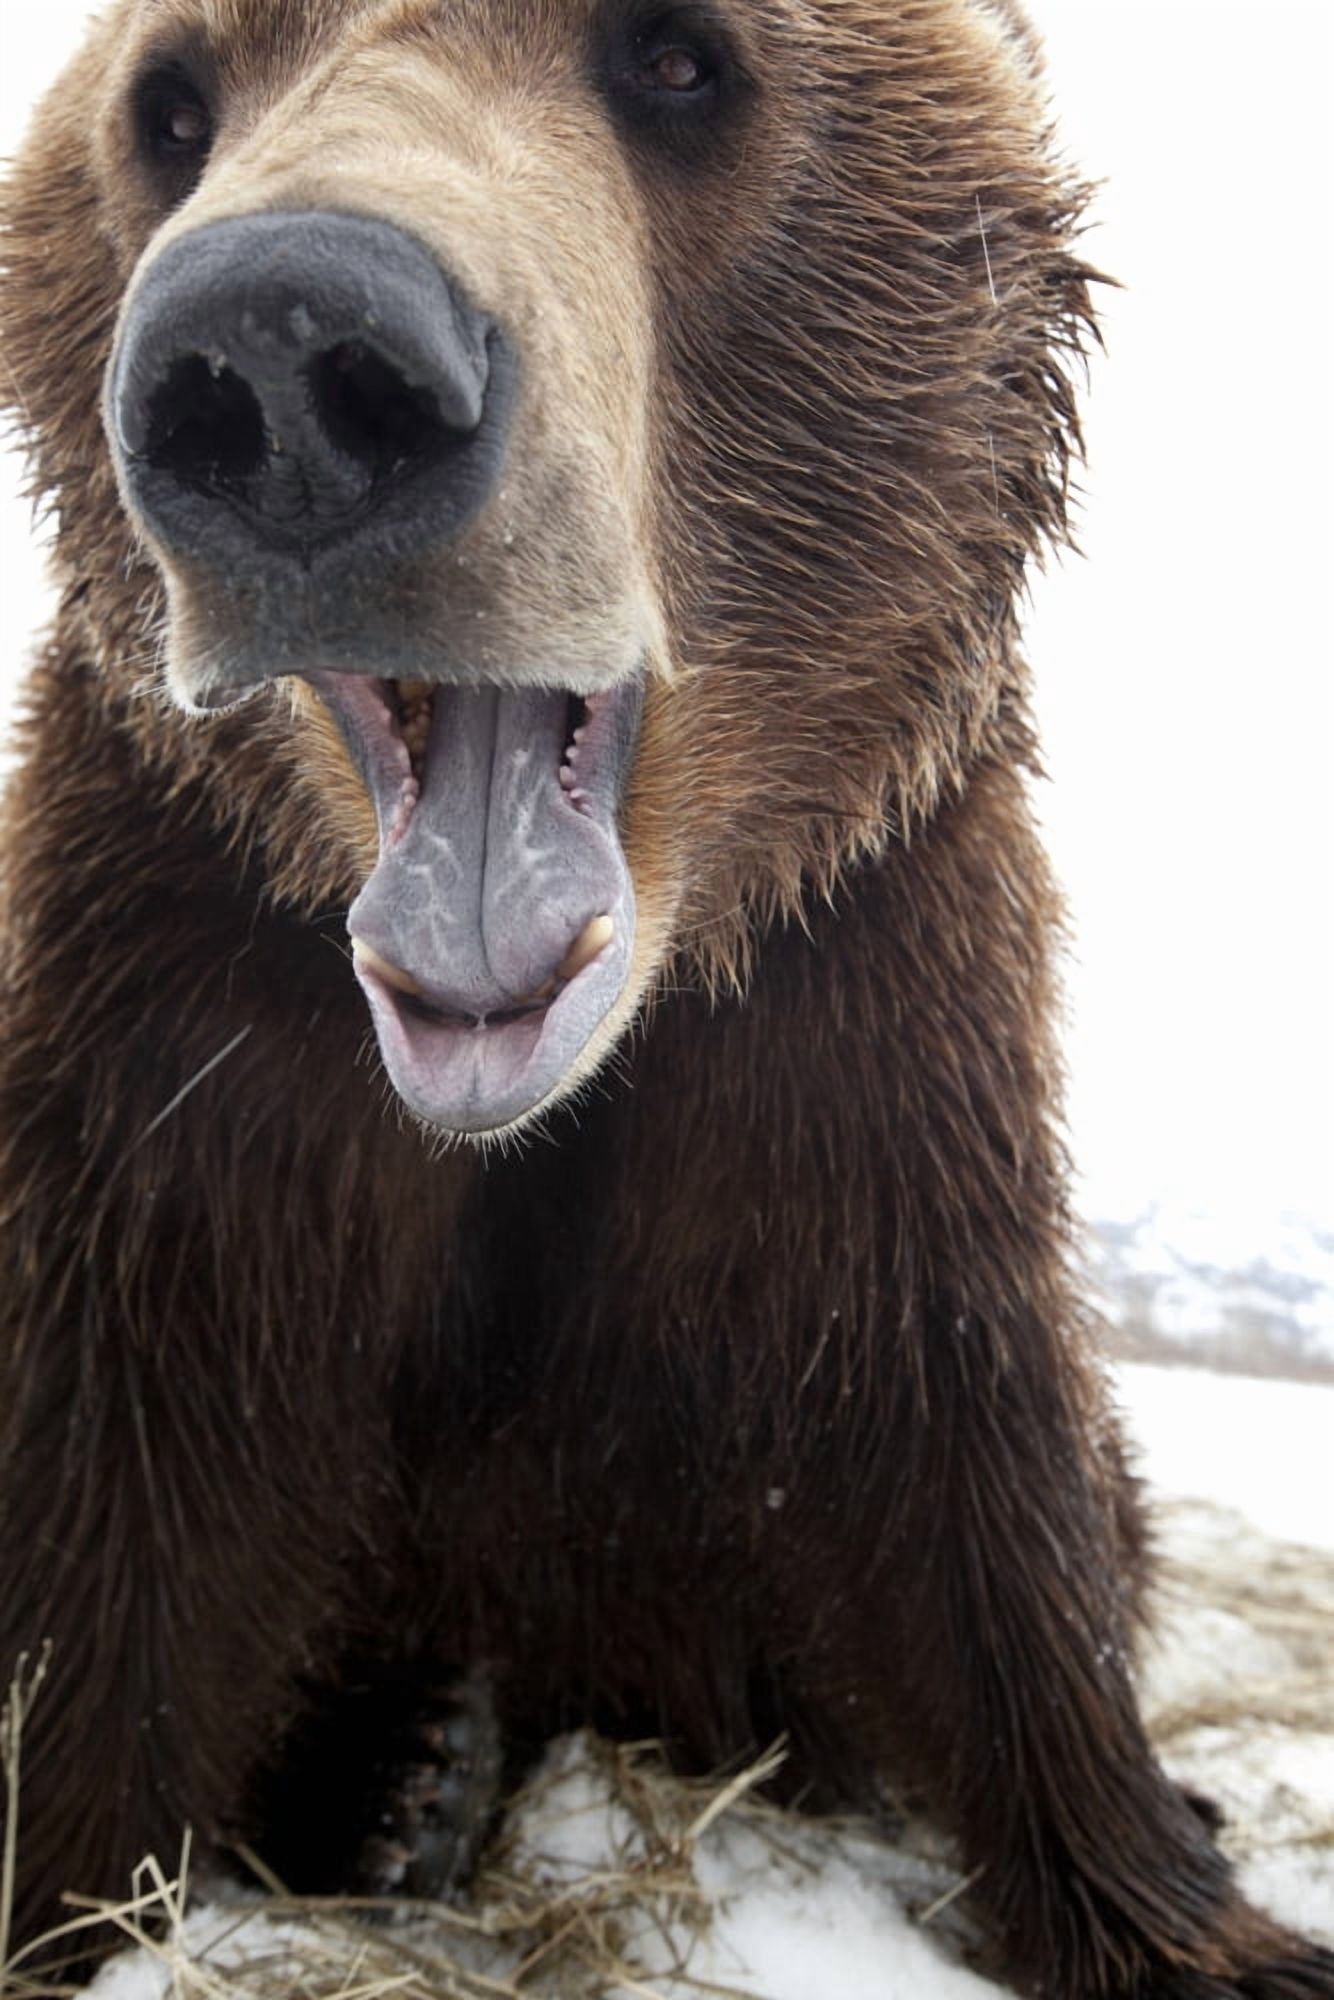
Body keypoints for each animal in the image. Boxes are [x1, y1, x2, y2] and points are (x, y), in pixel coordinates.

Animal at [0, 0, 1329, 1993]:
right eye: (168, 107)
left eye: (680, 63)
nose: (286, 356)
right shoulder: (173, 997)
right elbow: (122, 1491)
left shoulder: (862, 992)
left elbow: (958, 1438)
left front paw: (1183, 1899)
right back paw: (404, 1773)